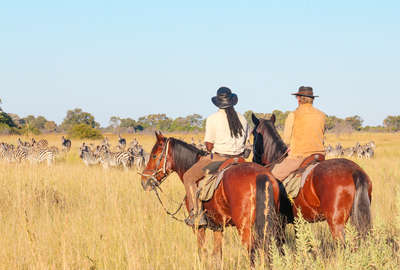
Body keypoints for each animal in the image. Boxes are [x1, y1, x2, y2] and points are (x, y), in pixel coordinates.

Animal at [142, 132, 282, 264]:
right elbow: (217, 255)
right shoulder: (218, 227)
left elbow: (202, 253)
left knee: (253, 253)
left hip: (246, 229)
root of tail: (261, 176)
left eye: (154, 156)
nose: (144, 180)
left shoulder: (198, 227)